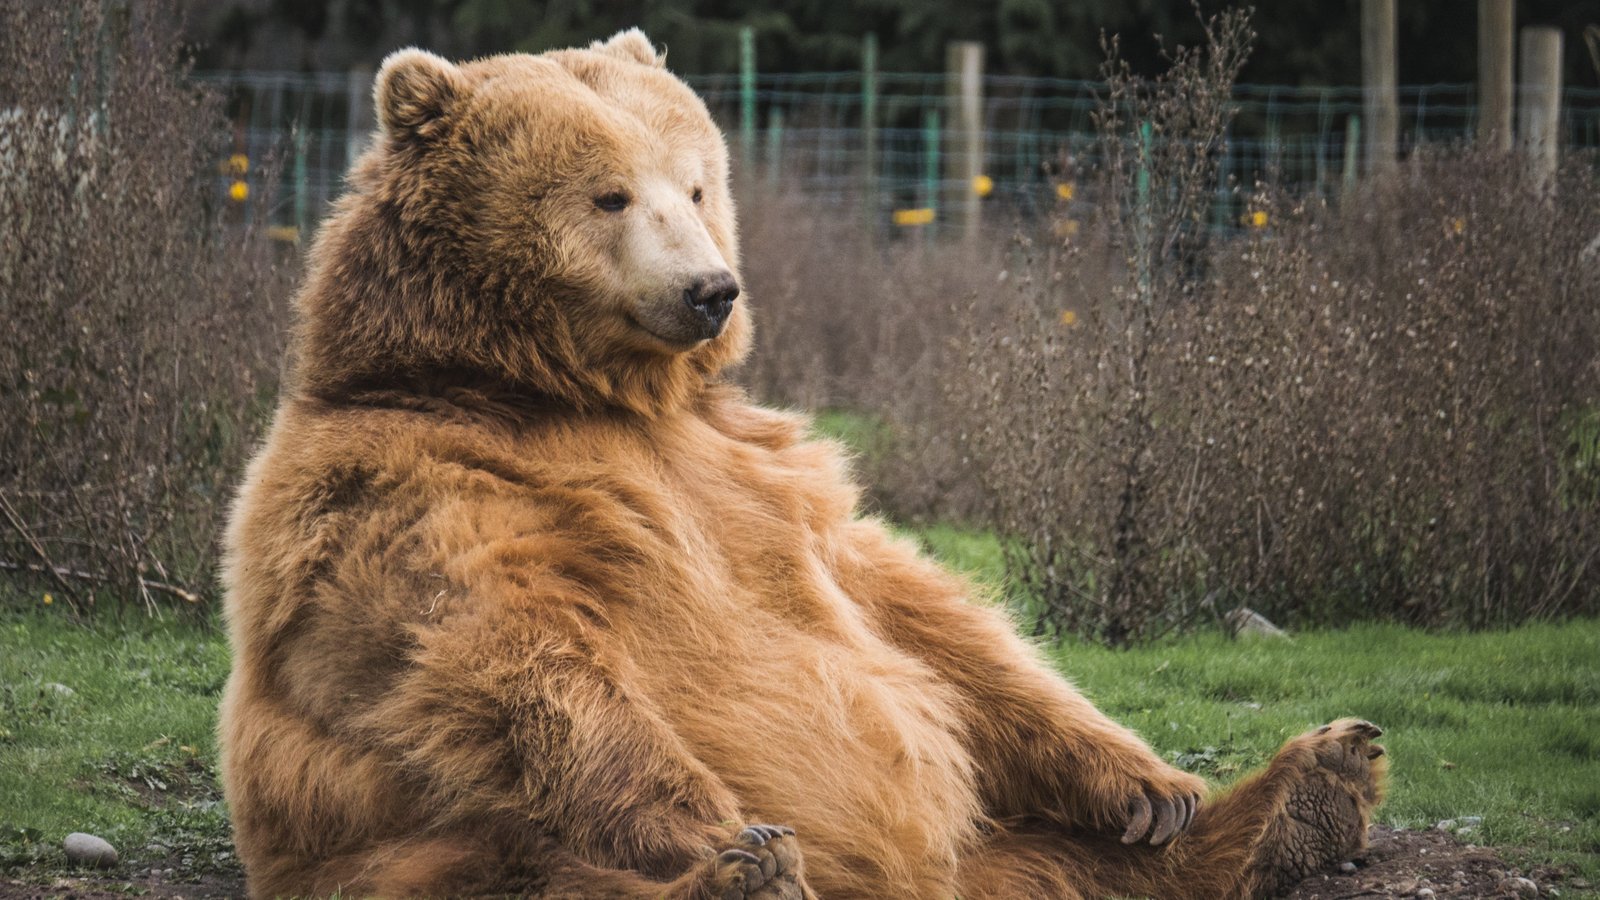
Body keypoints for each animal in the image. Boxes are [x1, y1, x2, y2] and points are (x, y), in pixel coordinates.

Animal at [222, 29, 1388, 896]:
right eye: (608, 195)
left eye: (695, 184)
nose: (710, 289)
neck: (562, 389)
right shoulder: (413, 483)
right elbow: (503, 649)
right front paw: (721, 836)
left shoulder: (760, 470)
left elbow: (919, 613)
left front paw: (1151, 784)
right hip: (408, 847)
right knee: (527, 865)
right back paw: (745, 877)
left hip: (997, 850)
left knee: (1073, 863)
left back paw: (1307, 789)